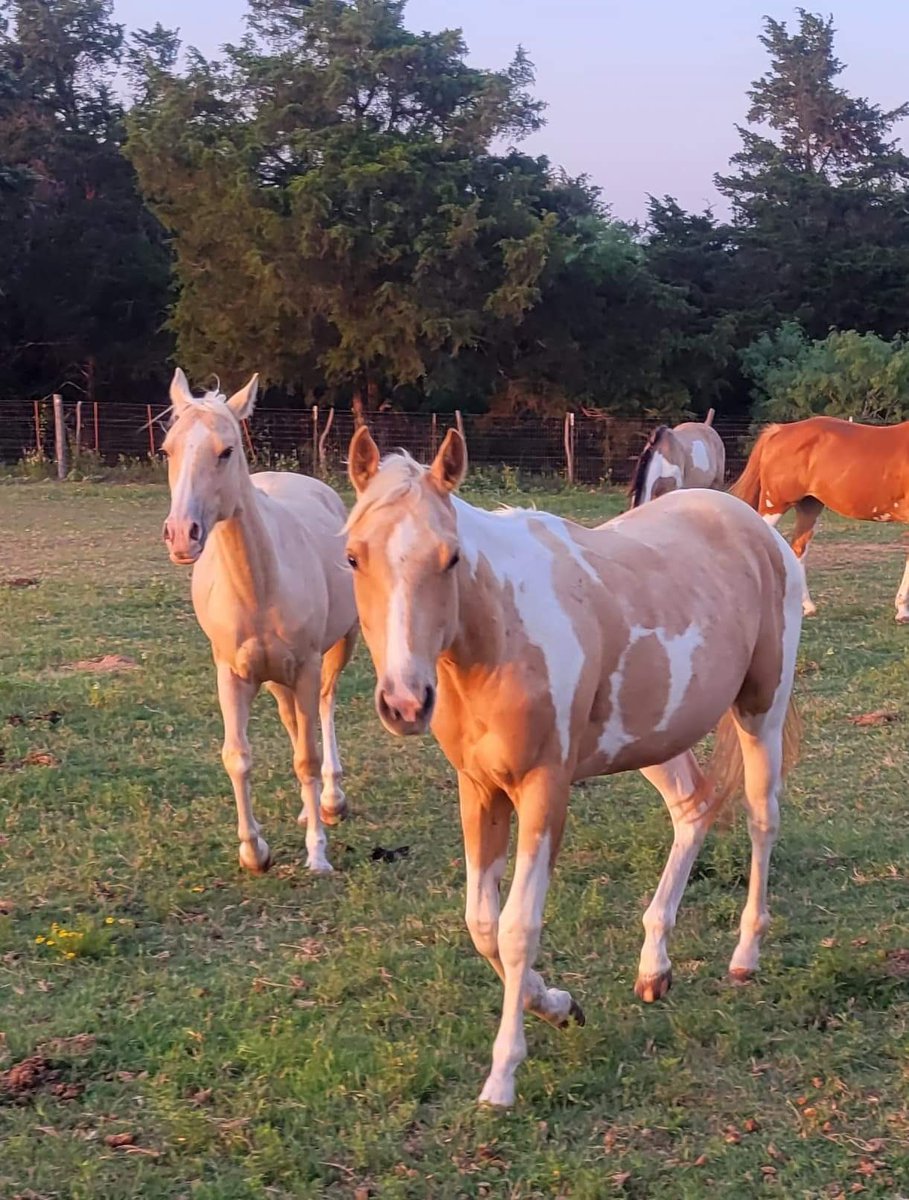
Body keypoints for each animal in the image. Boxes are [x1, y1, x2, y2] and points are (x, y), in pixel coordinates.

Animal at [161, 368, 358, 874]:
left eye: (226, 451)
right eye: (168, 450)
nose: (182, 534)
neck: (259, 586)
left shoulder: (306, 666)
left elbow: (307, 755)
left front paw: (318, 852)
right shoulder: (232, 674)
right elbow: (238, 757)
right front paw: (254, 851)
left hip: (336, 649)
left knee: (324, 710)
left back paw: (330, 800)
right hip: (273, 677)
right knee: (292, 722)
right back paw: (309, 808)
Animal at [343, 425, 803, 1108]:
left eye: (450, 558)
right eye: (353, 557)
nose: (404, 702)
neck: (499, 634)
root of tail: (762, 532)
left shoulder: (544, 790)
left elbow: (516, 928)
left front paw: (504, 1074)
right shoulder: (479, 789)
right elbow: (482, 924)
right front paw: (558, 1005)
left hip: (760, 712)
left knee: (760, 818)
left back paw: (746, 954)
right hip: (655, 737)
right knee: (693, 807)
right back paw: (654, 967)